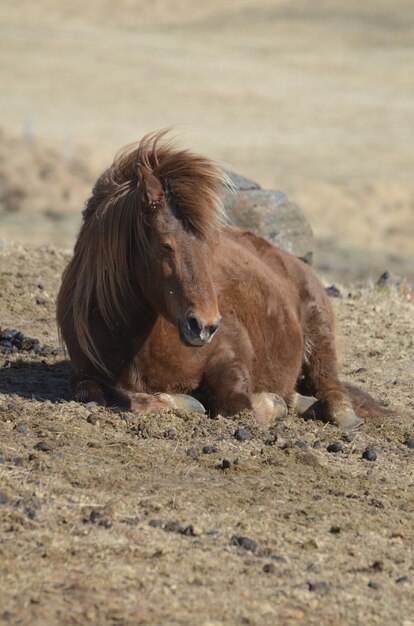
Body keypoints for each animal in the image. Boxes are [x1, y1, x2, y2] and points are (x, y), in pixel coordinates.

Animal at [57, 130, 388, 428]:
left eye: (212, 244)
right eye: (166, 245)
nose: (204, 325)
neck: (136, 341)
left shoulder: (231, 354)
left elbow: (237, 404)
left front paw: (271, 403)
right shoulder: (83, 375)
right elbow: (103, 394)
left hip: (319, 332)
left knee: (330, 385)